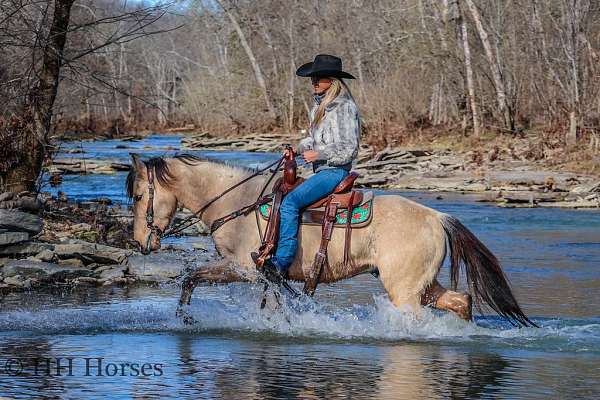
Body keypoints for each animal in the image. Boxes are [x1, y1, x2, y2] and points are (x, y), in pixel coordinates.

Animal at [125, 152, 536, 326]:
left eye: (140, 196)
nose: (142, 242)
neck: (237, 202)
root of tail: (438, 217)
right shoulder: (267, 278)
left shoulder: (243, 268)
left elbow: (190, 279)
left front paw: (184, 318)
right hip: (423, 284)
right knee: (461, 301)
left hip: (404, 289)